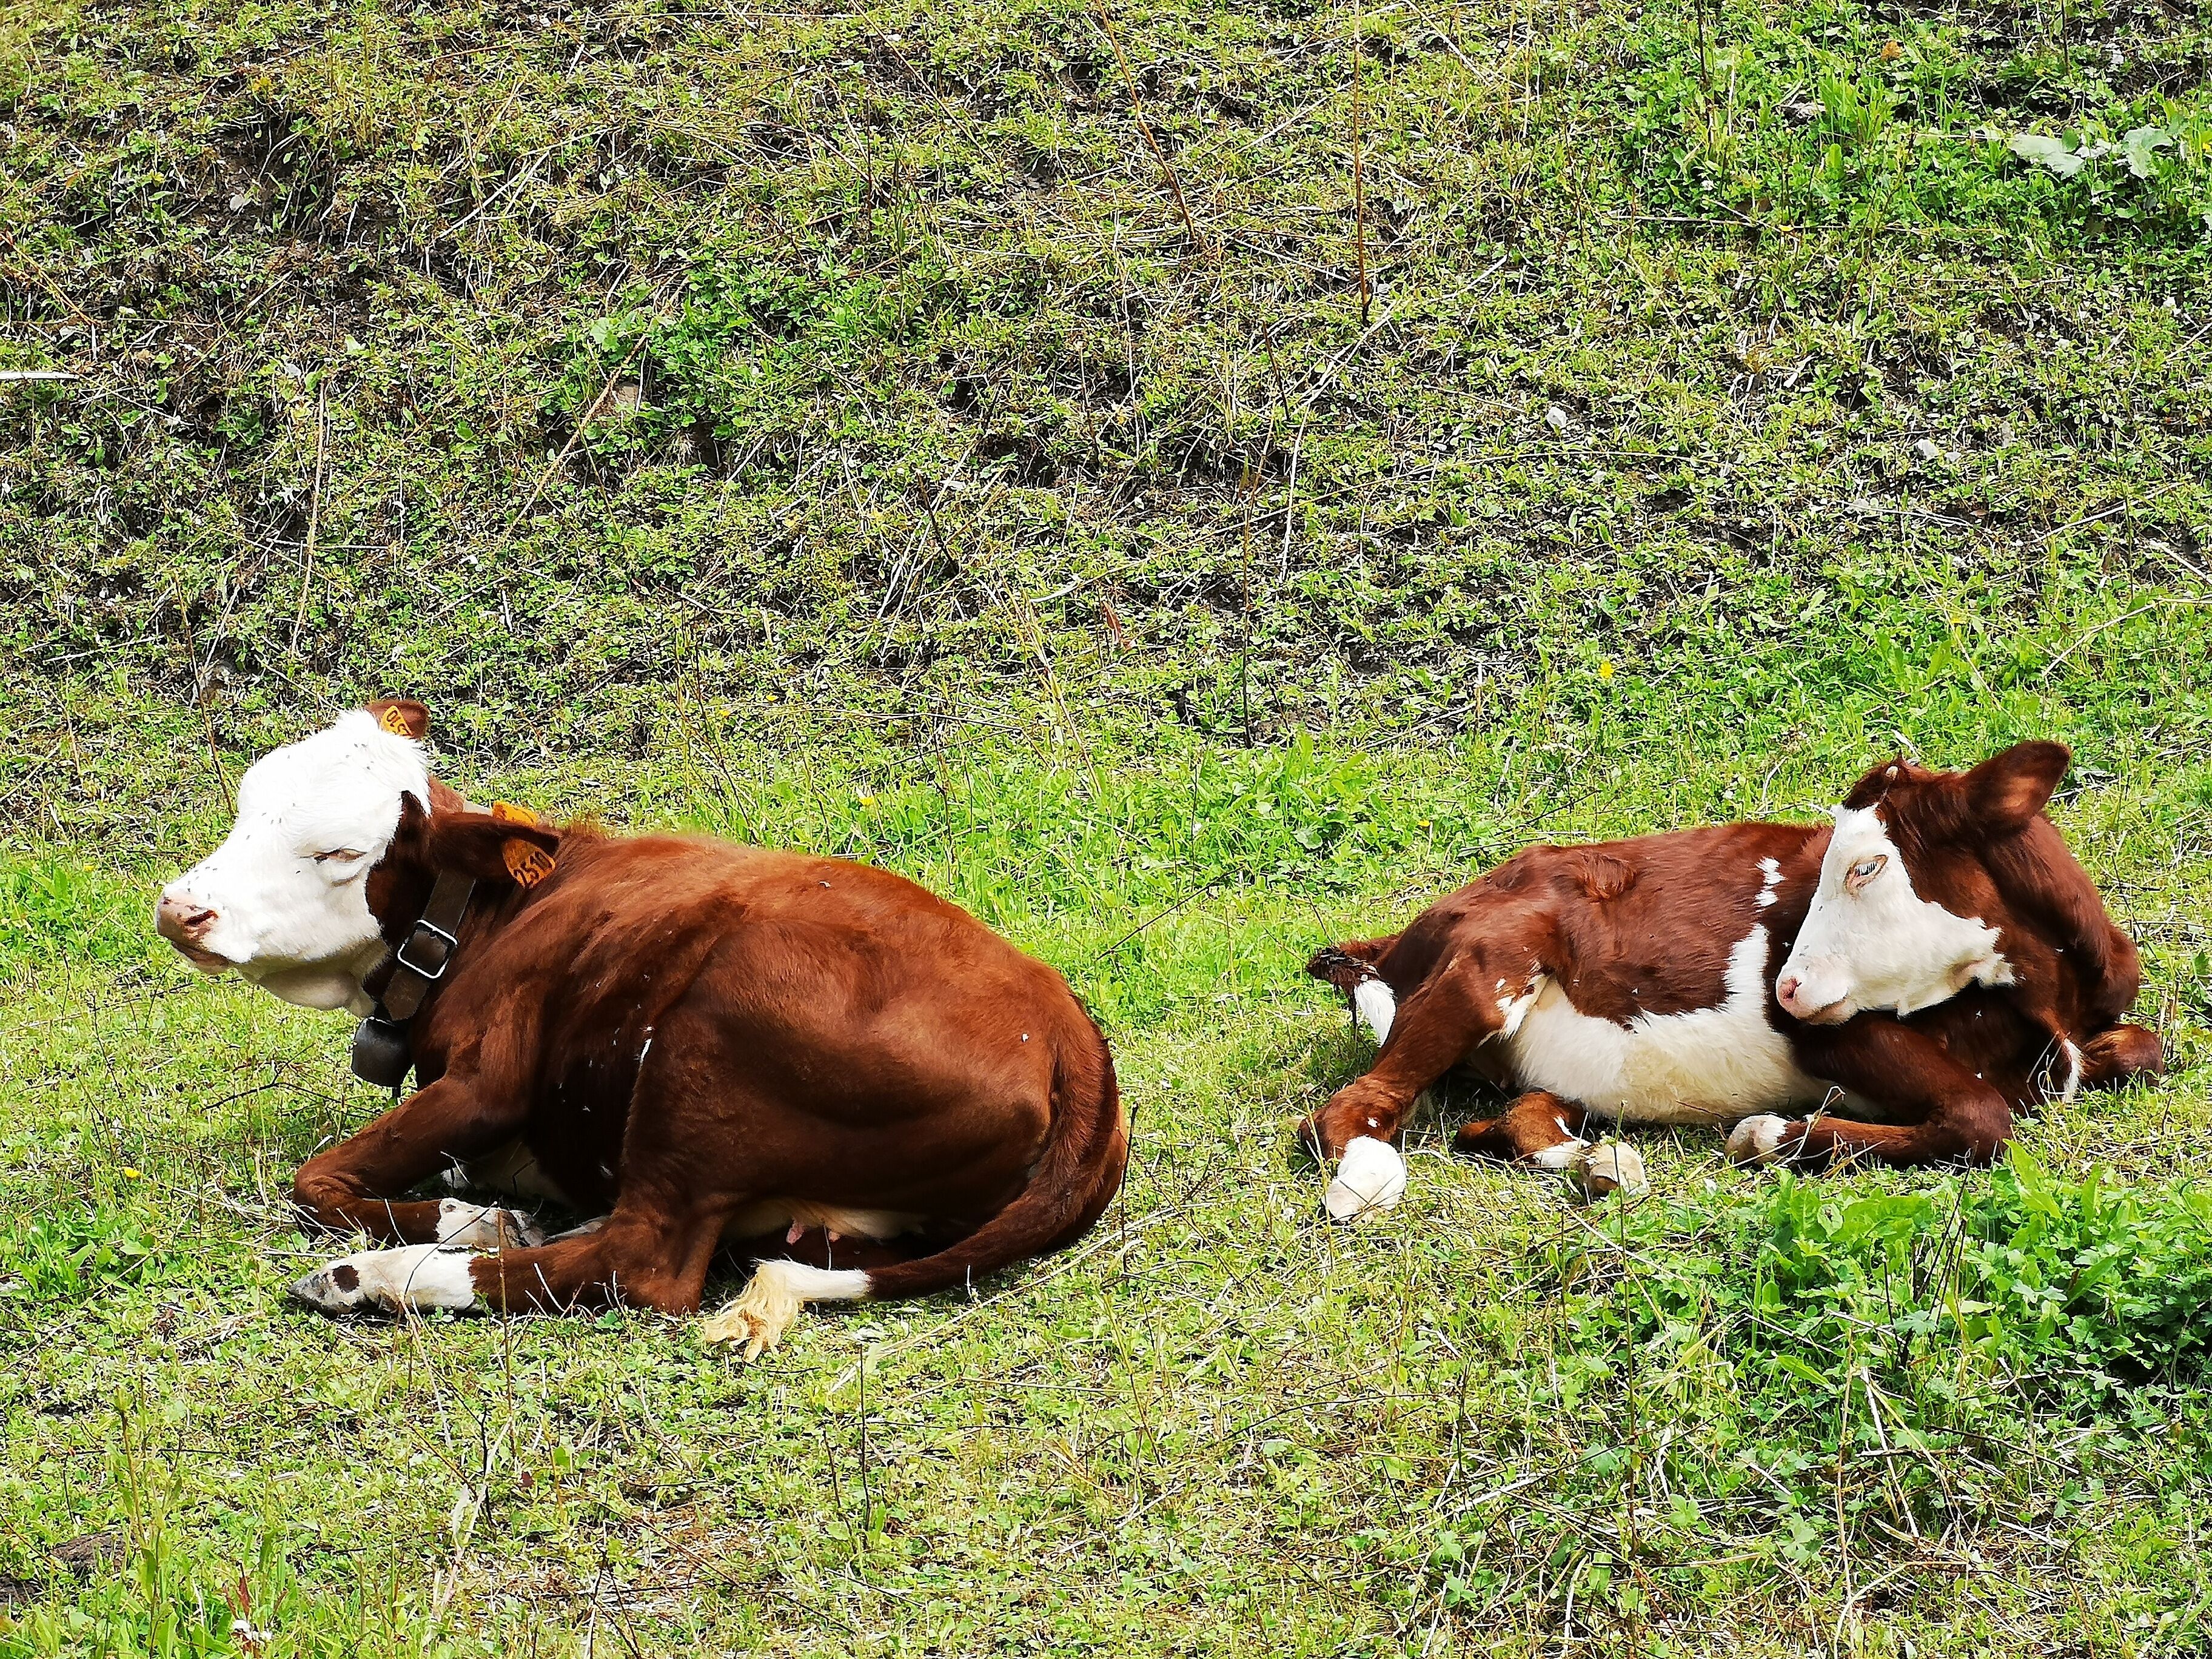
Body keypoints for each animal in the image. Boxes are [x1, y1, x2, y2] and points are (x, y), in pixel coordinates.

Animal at [154, 700, 1127, 1355]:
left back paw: (379, 1277)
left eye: (341, 853)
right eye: (247, 806)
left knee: (644, 1261)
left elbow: (314, 1181)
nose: (179, 909)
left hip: (708, 1051)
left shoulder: (486, 1084)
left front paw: (467, 1218)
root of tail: (1070, 1034)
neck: (488, 917)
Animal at [1304, 741, 2160, 1206]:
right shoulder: (1833, 1036)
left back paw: (1600, 1163)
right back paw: (1367, 1176)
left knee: (1516, 1119)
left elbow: (2147, 1049)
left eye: (1867, 866)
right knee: (1347, 1109)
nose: (1785, 986)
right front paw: (1771, 1135)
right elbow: (1984, 1116)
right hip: (1491, 961)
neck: (2050, 1004)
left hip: (1557, 1067)